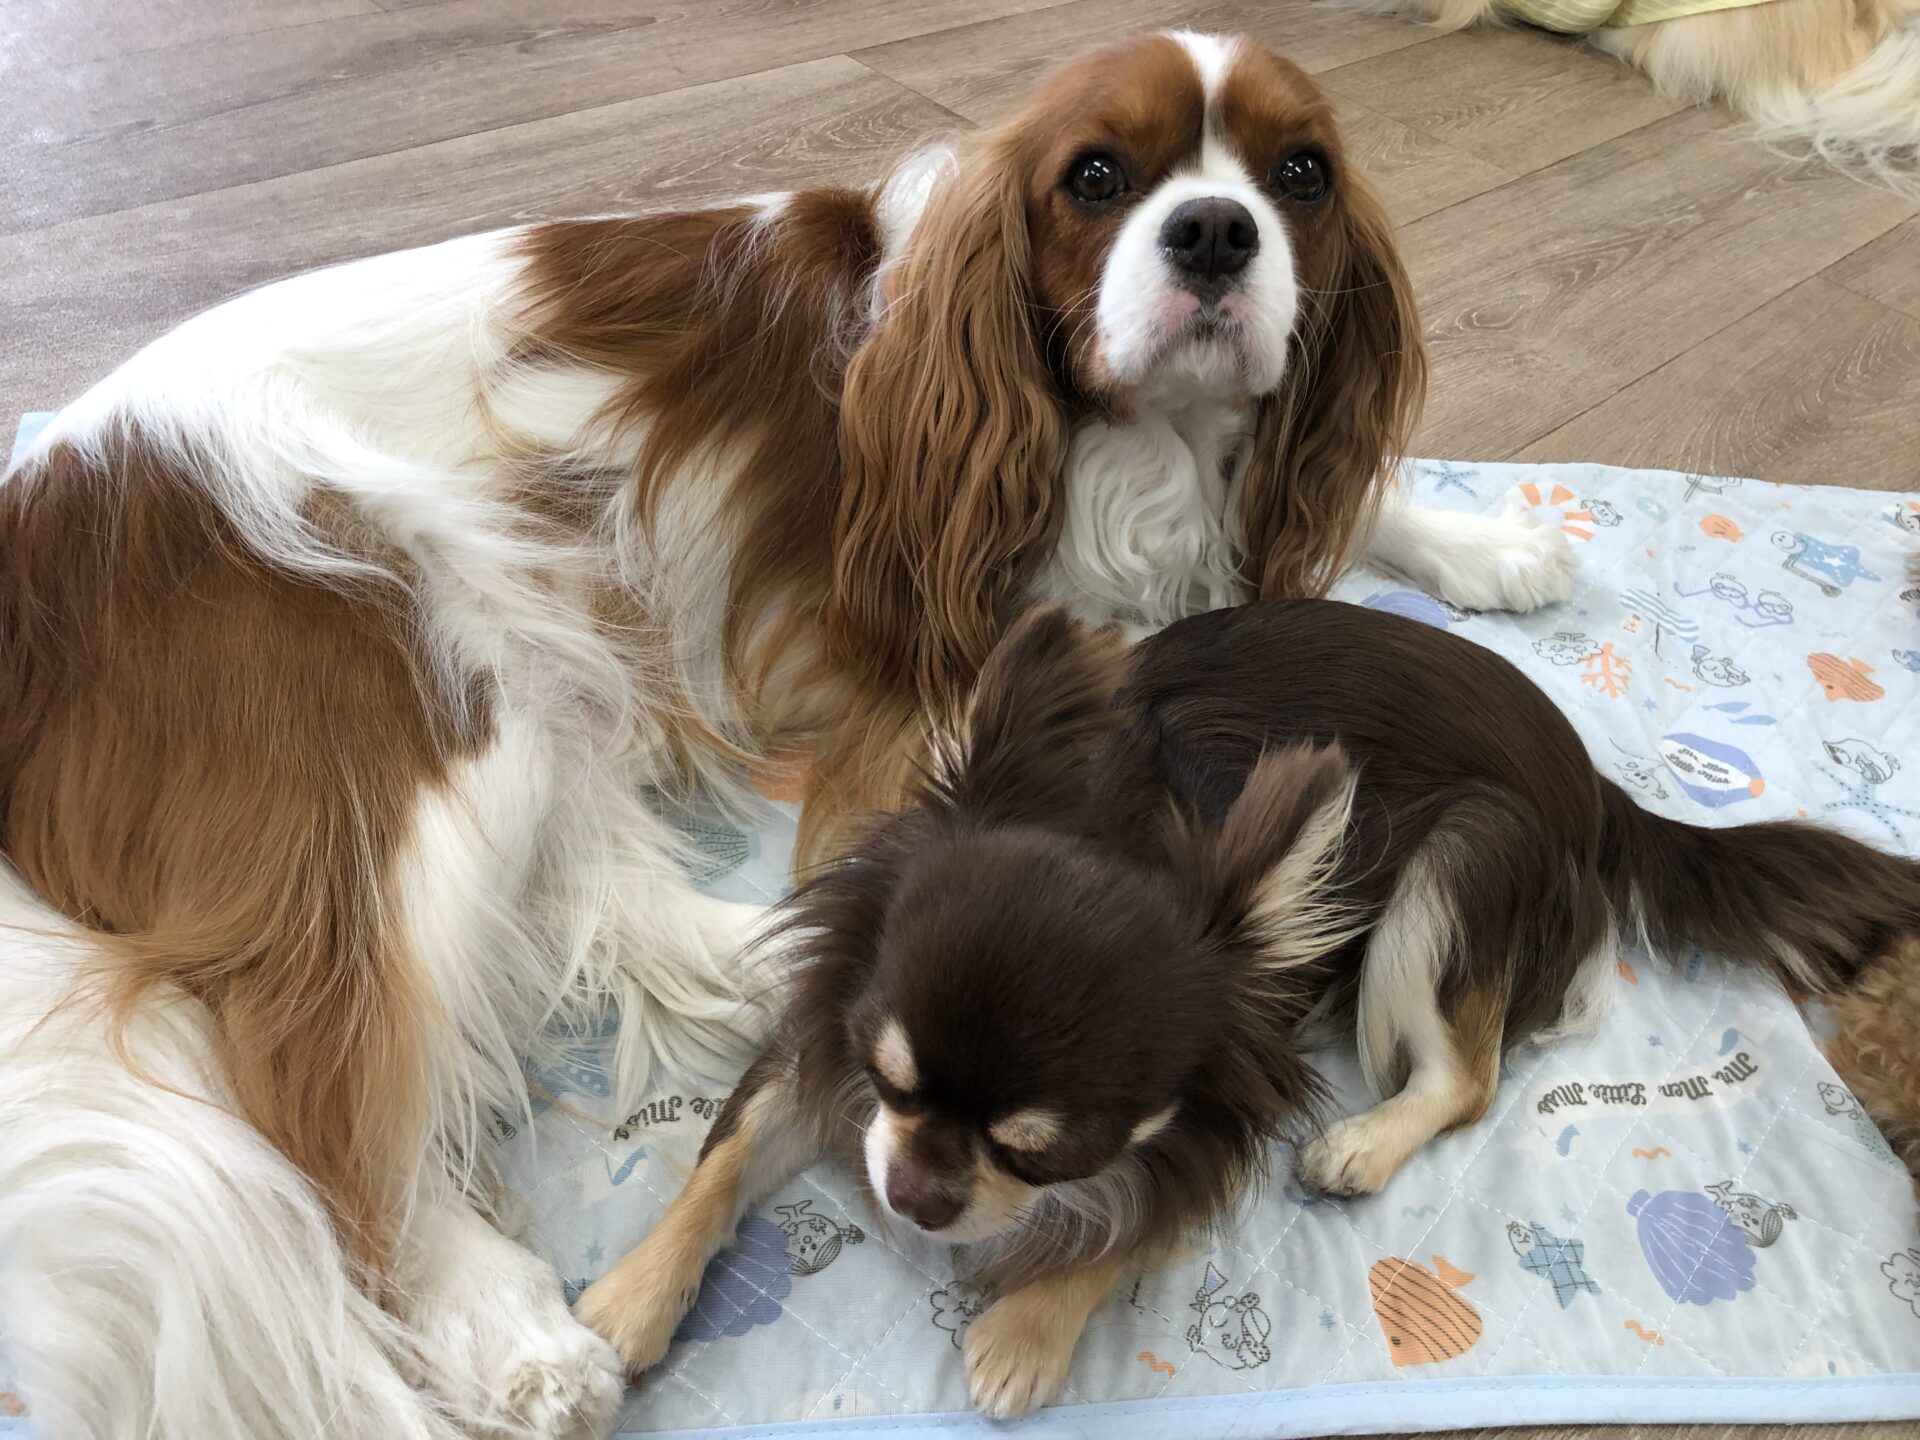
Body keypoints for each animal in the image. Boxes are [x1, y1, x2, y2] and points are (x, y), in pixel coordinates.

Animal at [0, 30, 1580, 1440]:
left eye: (1299, 174)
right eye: (1097, 177)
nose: (1212, 232)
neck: (1124, 430)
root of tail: (38, 513)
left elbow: (1331, 515)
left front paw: (1487, 546)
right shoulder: (945, 666)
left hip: (532, 670)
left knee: (596, 910)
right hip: (419, 664)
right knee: (323, 1068)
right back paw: (515, 1329)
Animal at [576, 602, 1920, 1417]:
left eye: (1045, 1154)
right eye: (893, 1076)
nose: (913, 1196)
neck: (1129, 820)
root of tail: (1598, 786)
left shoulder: (1225, 1104)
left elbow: (1134, 1224)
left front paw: (1027, 1332)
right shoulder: (829, 1043)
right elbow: (723, 1157)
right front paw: (632, 1301)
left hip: (1454, 872)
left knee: (1467, 1075)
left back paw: (1363, 1145)